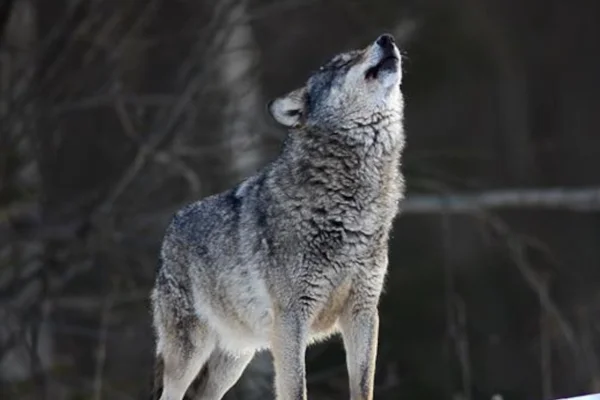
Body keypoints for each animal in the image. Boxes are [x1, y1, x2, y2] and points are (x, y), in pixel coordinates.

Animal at [150, 32, 406, 400]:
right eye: (340, 63)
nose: (386, 39)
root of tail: (170, 230)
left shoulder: (364, 313)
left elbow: (363, 387)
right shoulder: (290, 319)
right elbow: (295, 388)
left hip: (234, 359)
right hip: (189, 354)